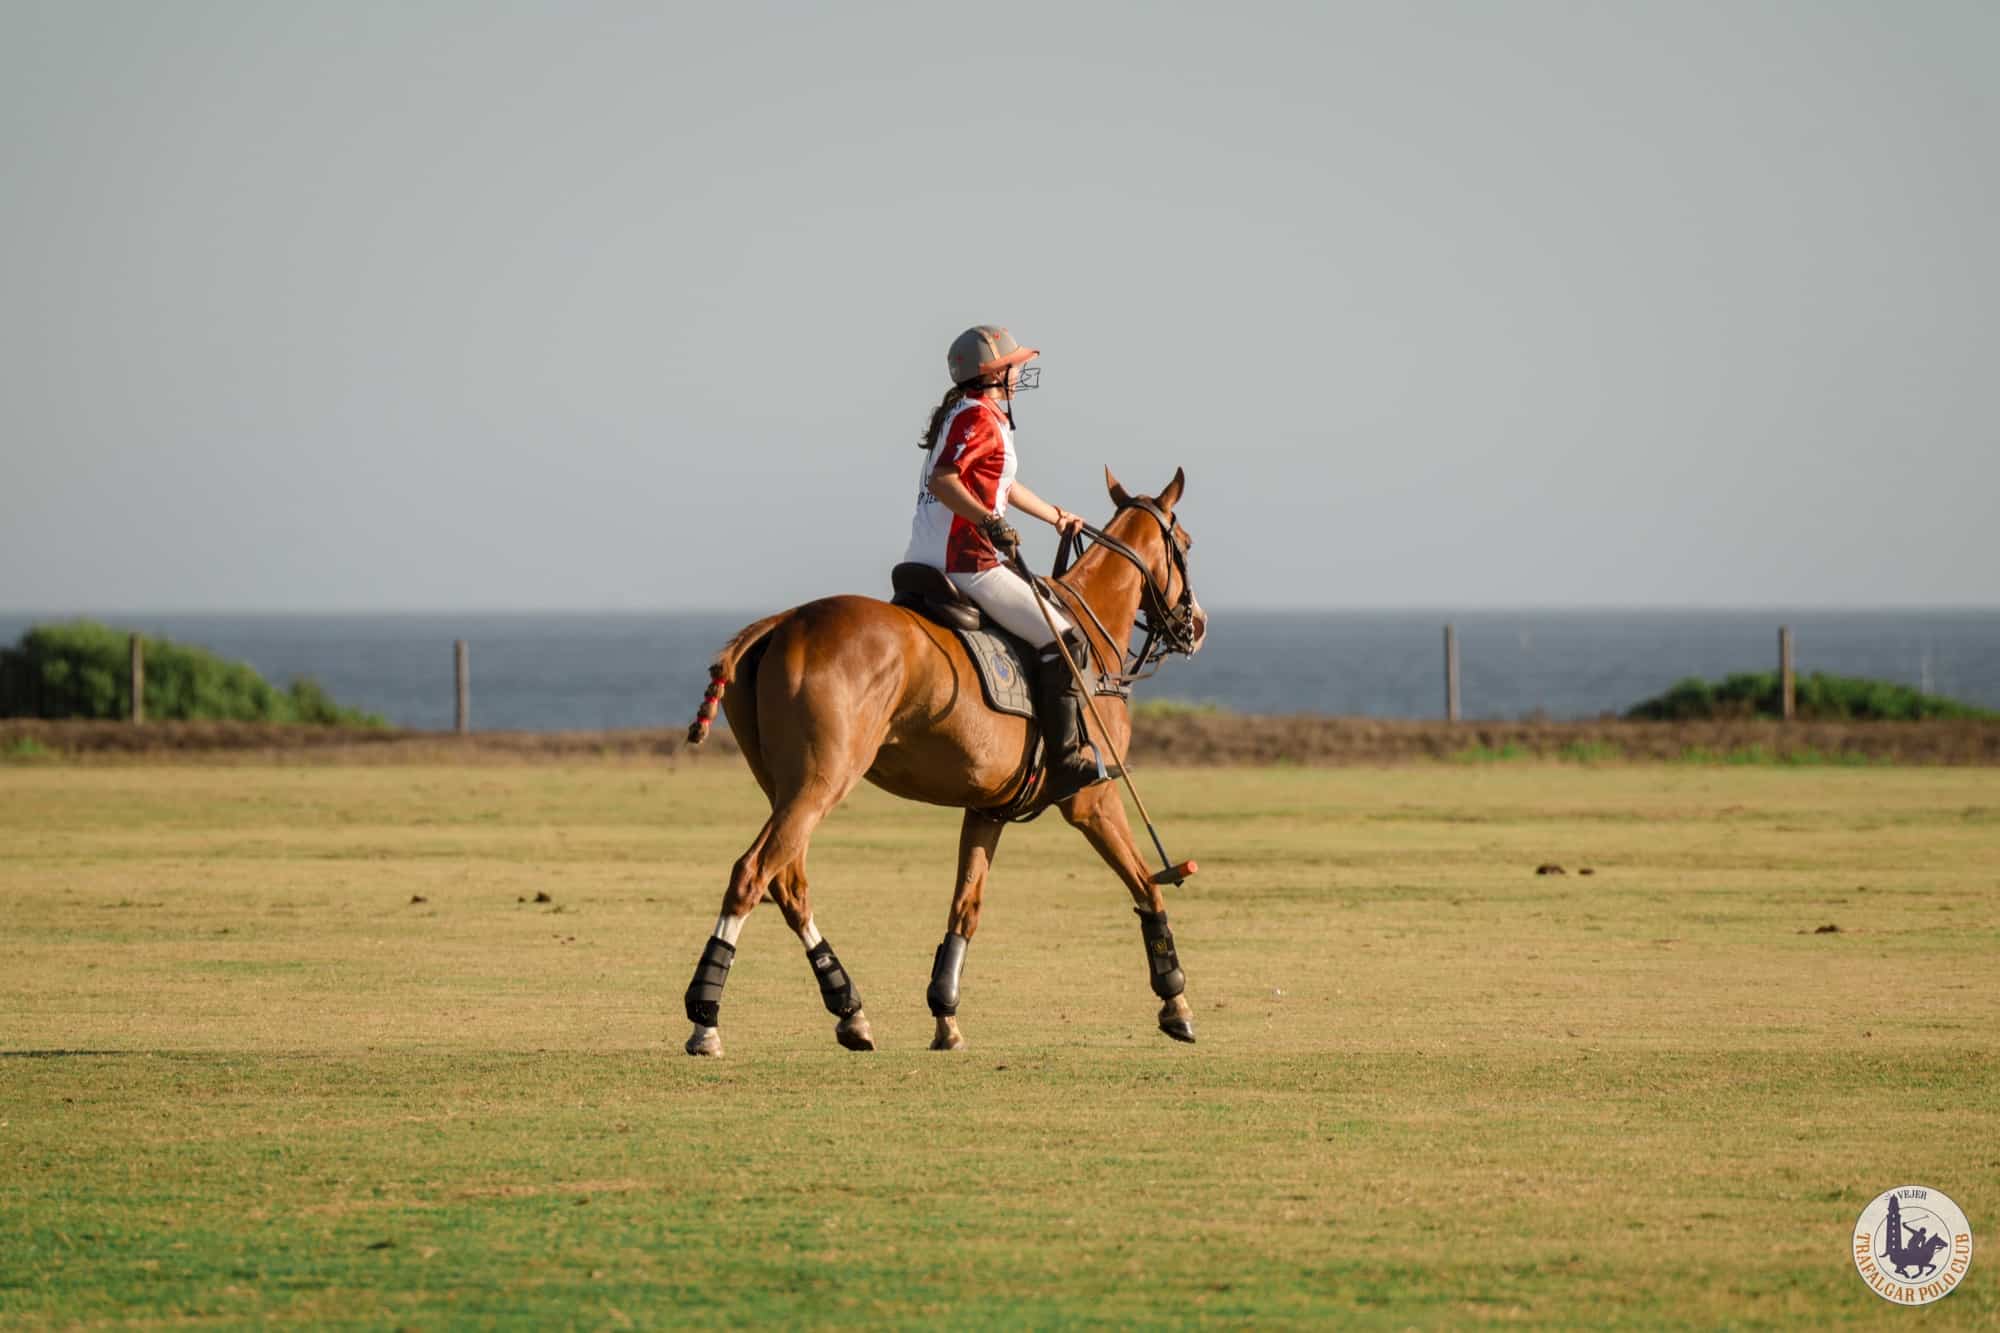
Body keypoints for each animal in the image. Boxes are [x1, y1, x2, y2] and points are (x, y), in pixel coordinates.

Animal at [676, 464, 1200, 1048]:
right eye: (1186, 544)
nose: (1195, 625)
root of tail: (782, 621)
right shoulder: (1094, 799)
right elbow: (1146, 884)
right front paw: (1175, 1002)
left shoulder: (988, 808)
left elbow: (965, 909)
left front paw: (945, 1015)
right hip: (821, 780)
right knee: (752, 874)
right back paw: (705, 1018)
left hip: (785, 785)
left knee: (789, 884)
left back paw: (848, 1009)